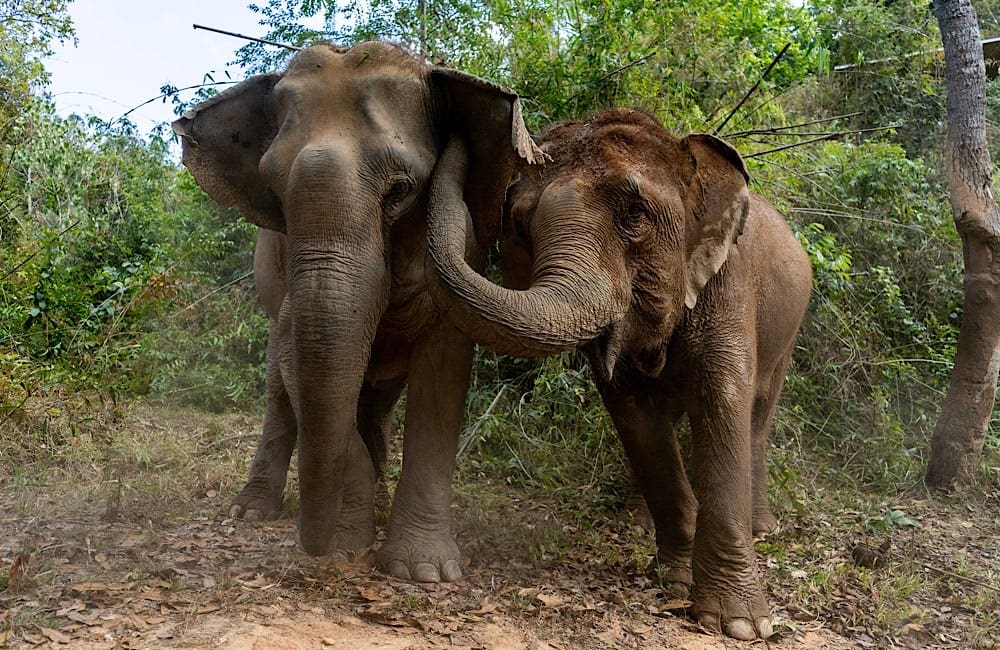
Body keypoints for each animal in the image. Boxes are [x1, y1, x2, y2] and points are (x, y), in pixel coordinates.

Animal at [172, 41, 542, 581]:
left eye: (402, 189)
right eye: (273, 193)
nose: (312, 548)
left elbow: (443, 375)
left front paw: (422, 573)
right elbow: (301, 367)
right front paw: (350, 545)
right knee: (280, 389)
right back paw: (252, 512)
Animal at [424, 108, 812, 639]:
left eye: (635, 215)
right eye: (520, 224)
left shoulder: (729, 287)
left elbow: (723, 401)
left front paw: (740, 625)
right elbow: (635, 416)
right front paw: (674, 579)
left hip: (790, 330)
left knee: (758, 416)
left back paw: (762, 528)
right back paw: (638, 523)